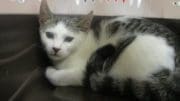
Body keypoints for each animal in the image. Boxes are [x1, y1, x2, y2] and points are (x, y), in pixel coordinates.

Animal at [38, 0, 179, 100]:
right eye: (49, 35)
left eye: (68, 39)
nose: (56, 48)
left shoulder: (82, 72)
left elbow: (59, 76)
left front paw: (50, 71)